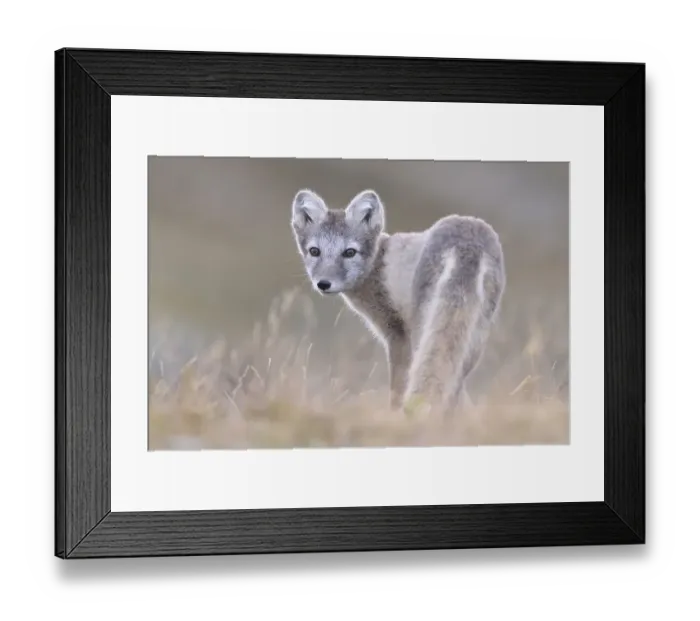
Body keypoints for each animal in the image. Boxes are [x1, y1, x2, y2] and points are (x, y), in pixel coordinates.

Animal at [290, 188, 506, 416]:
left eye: (349, 252)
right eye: (314, 251)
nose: (323, 283)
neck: (377, 264)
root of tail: (468, 245)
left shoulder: (397, 333)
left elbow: (398, 385)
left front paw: (393, 414)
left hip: (424, 328)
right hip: (475, 337)